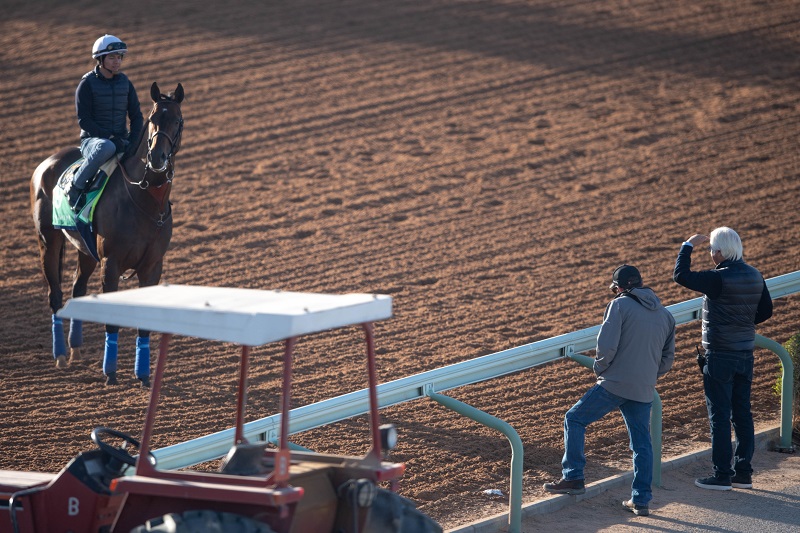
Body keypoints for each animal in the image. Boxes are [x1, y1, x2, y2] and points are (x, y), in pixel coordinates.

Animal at [30, 81, 184, 384]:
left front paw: (143, 375)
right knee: (55, 294)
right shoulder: (110, 263)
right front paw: (110, 372)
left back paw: (76, 351)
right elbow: (111, 318)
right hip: (49, 241)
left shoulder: (152, 266)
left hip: (86, 250)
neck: (143, 199)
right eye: (153, 118)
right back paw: (61, 355)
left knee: (77, 288)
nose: (157, 158)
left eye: (177, 120)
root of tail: (46, 164)